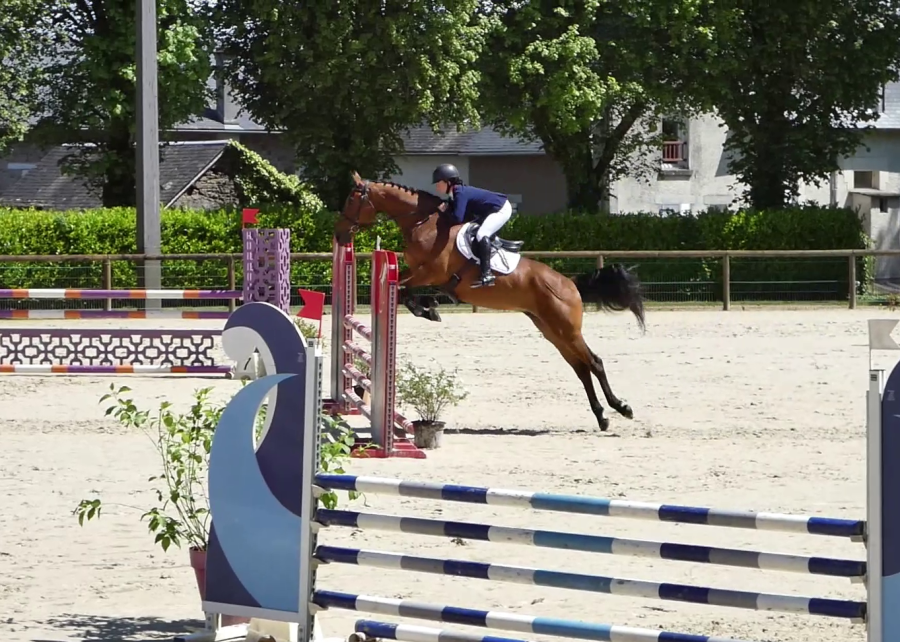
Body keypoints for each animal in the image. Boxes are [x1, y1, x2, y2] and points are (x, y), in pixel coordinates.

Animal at [334, 172, 646, 431]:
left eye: (352, 199)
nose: (339, 233)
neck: (424, 223)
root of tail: (570, 284)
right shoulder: (419, 273)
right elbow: (404, 291)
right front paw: (430, 308)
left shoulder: (431, 272)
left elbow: (402, 291)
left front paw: (429, 310)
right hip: (551, 331)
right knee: (581, 368)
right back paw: (602, 416)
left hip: (567, 329)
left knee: (594, 362)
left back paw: (622, 408)